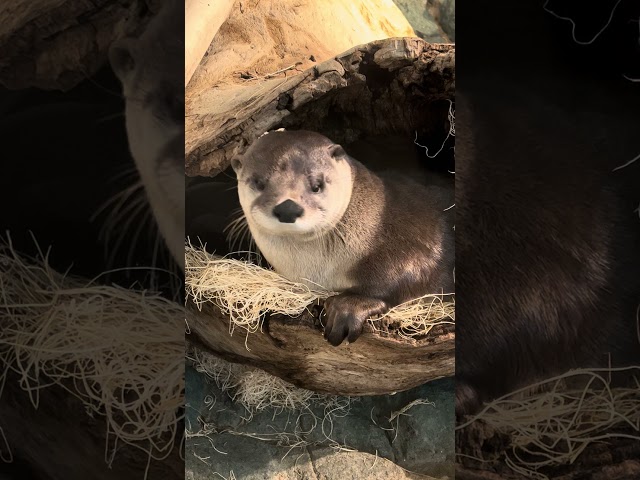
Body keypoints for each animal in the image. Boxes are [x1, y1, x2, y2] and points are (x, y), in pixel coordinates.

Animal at [231, 130, 455, 346]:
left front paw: (348, 306)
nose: (288, 208)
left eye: (317, 185)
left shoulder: (417, 235)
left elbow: (414, 271)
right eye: (259, 183)